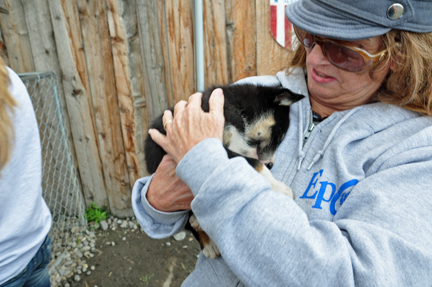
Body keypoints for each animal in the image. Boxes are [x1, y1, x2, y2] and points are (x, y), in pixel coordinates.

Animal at [143, 82, 302, 258]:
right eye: (279, 135)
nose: (271, 165)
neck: (240, 110)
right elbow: (252, 161)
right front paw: (280, 187)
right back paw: (208, 244)